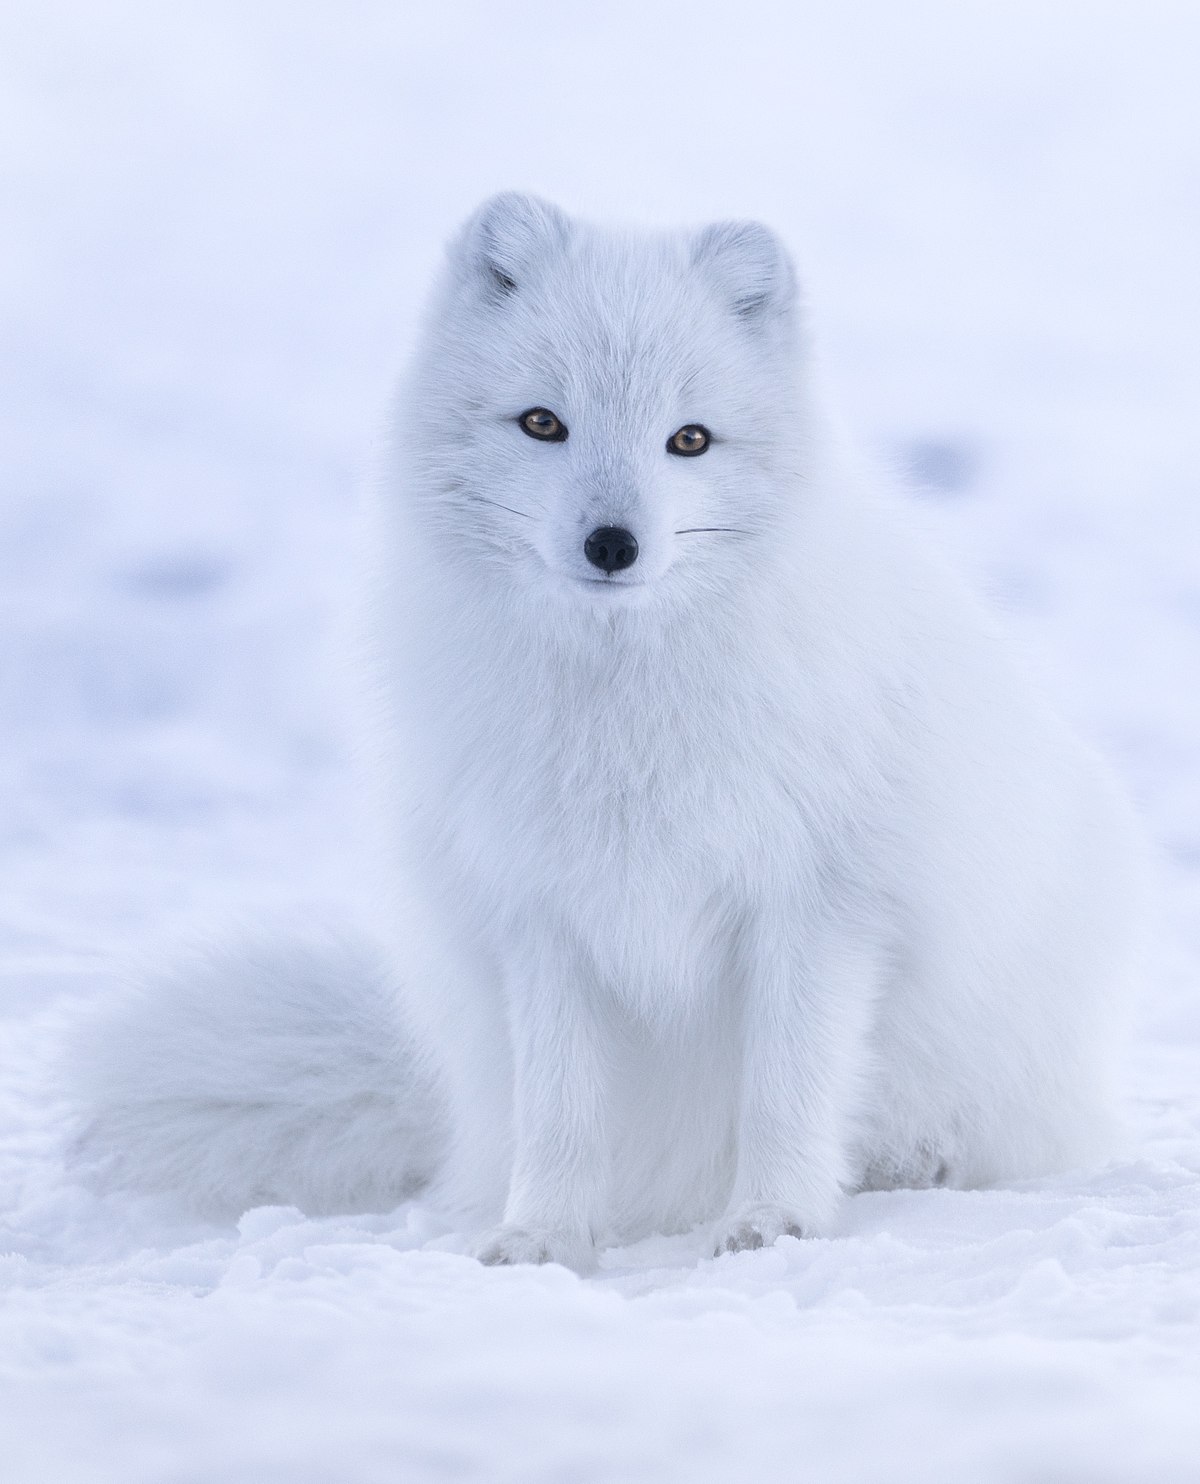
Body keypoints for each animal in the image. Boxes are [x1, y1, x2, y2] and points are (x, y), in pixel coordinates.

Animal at [70, 191, 1139, 1270]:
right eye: (544, 422)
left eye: (690, 440)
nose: (613, 544)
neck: (623, 707)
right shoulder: (539, 910)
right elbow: (561, 1110)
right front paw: (541, 1234)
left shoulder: (818, 903)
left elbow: (787, 1088)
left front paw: (774, 1220)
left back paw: (914, 1161)